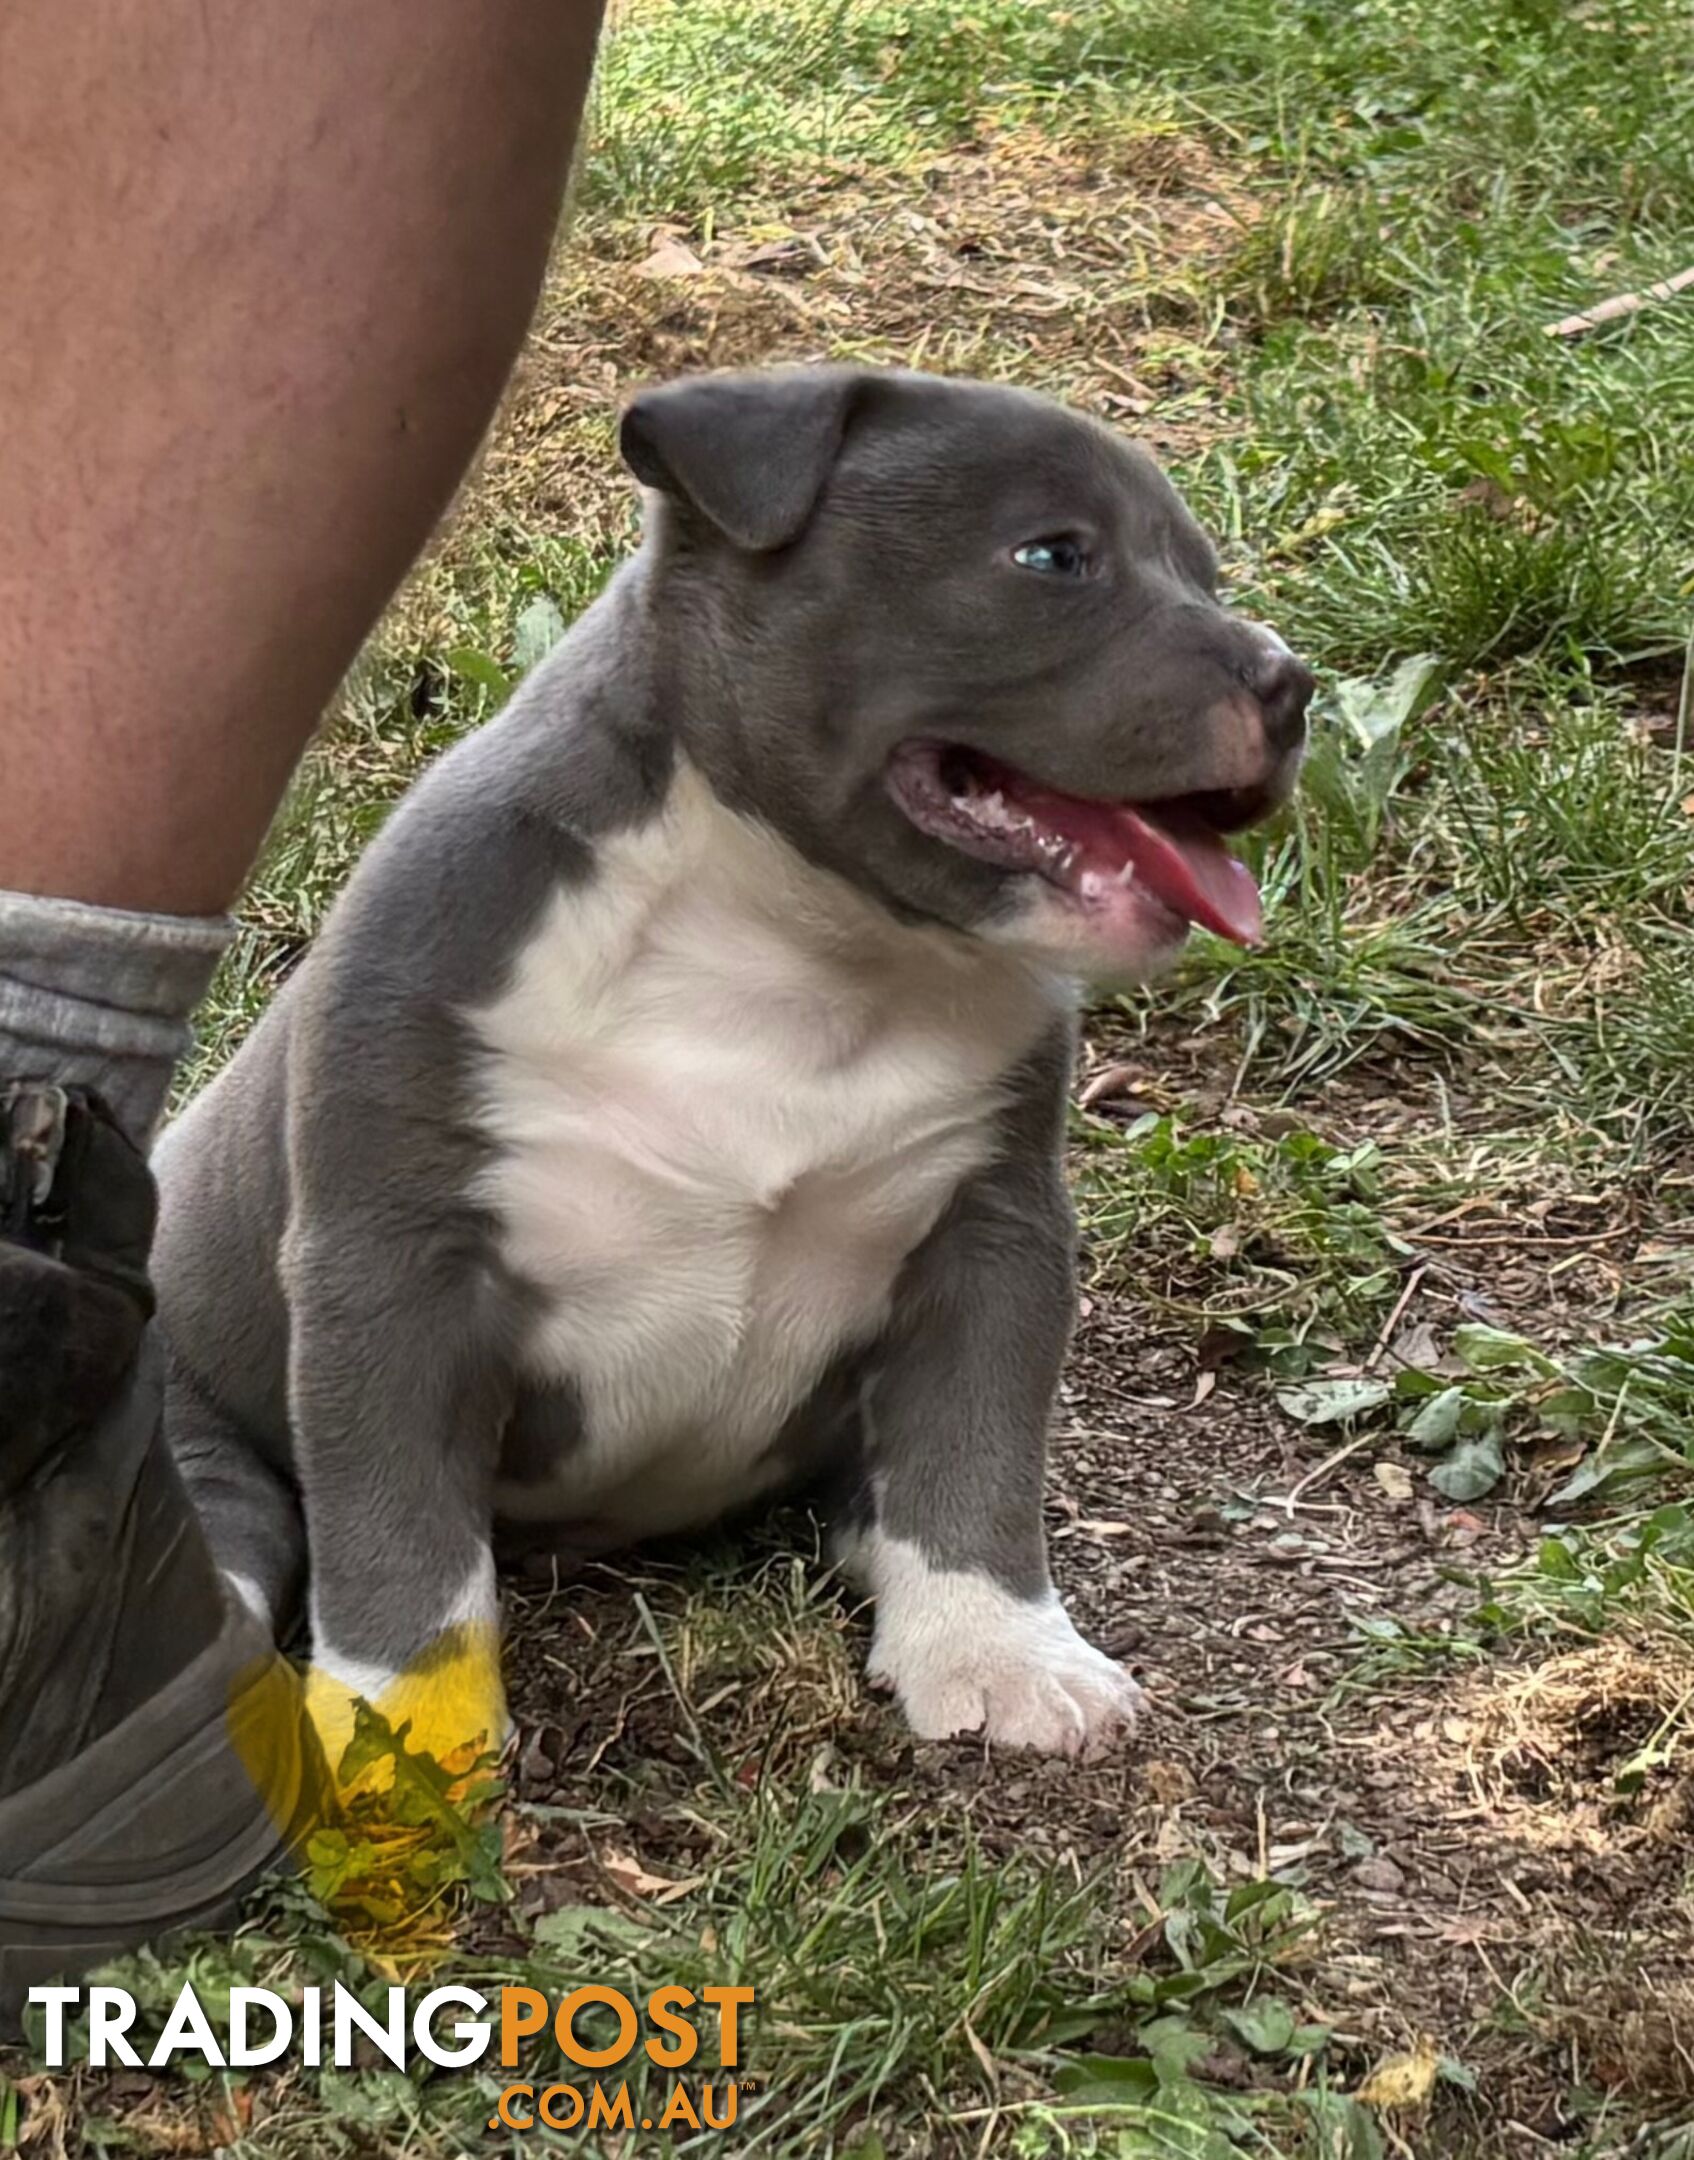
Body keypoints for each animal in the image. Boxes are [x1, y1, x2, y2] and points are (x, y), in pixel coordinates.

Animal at [149, 367, 1313, 1753]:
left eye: (1200, 571)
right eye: (1052, 557)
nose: (1291, 683)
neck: (794, 944)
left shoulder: (991, 1236)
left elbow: (973, 1455)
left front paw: (1000, 1651)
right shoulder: (393, 1264)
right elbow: (400, 1536)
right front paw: (400, 1740)